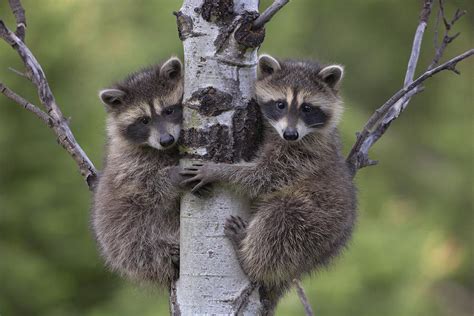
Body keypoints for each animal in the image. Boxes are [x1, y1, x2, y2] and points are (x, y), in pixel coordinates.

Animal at [91, 56, 184, 286]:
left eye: (169, 111)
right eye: (144, 120)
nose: (166, 140)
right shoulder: (129, 165)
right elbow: (144, 187)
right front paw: (171, 176)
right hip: (123, 236)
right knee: (140, 246)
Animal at [181, 54, 356, 312]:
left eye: (307, 108)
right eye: (280, 104)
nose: (291, 134)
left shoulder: (302, 156)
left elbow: (264, 176)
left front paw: (219, 171)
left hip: (314, 223)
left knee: (279, 220)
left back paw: (248, 258)